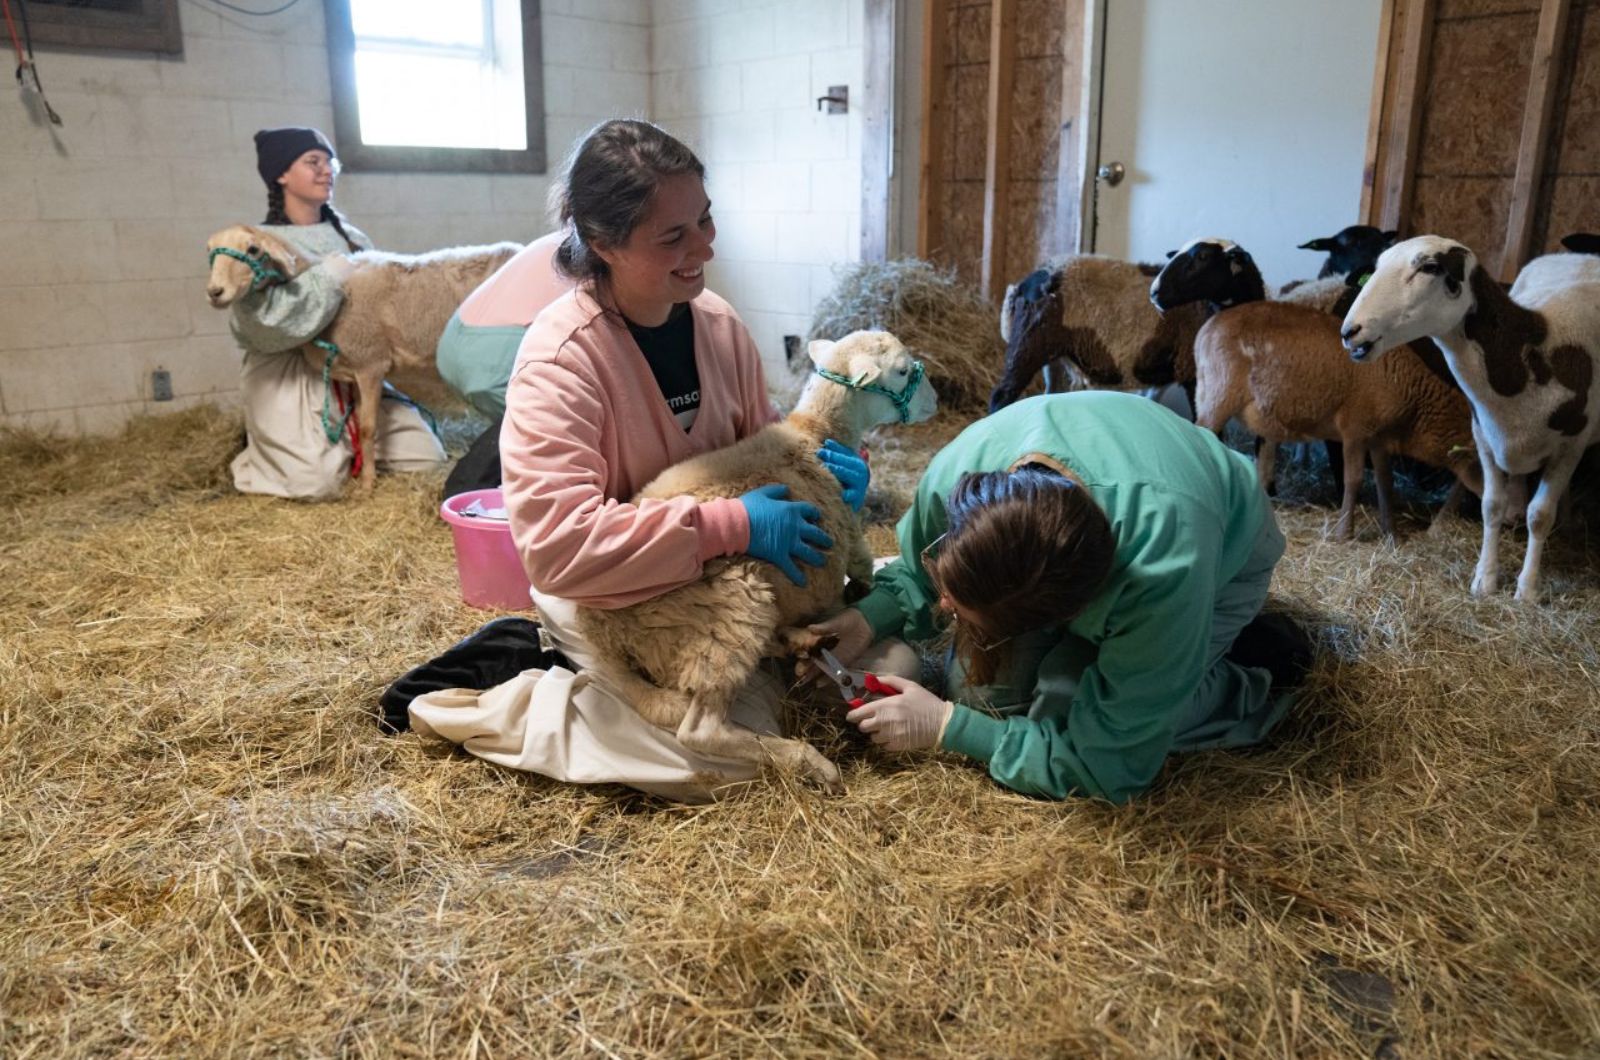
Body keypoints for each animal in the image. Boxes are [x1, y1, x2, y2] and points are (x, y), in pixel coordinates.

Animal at [203, 225, 521, 493]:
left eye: (253, 249)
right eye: (209, 251)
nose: (215, 292)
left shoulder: (371, 364)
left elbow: (368, 427)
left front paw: (368, 482)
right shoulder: (354, 372)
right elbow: (357, 422)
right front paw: (361, 470)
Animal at [576, 329, 934, 787]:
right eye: (903, 371)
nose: (934, 399)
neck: (817, 432)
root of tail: (602, 629)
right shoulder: (850, 538)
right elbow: (861, 570)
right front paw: (864, 593)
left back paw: (804, 643)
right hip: (726, 611)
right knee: (700, 730)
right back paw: (809, 760)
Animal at [1337, 236, 1600, 602]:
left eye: (1430, 267)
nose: (1350, 331)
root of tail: (1584, 257)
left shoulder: (1570, 447)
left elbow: (1539, 515)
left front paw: (1526, 590)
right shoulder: (1485, 438)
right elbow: (1491, 505)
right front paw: (1485, 580)